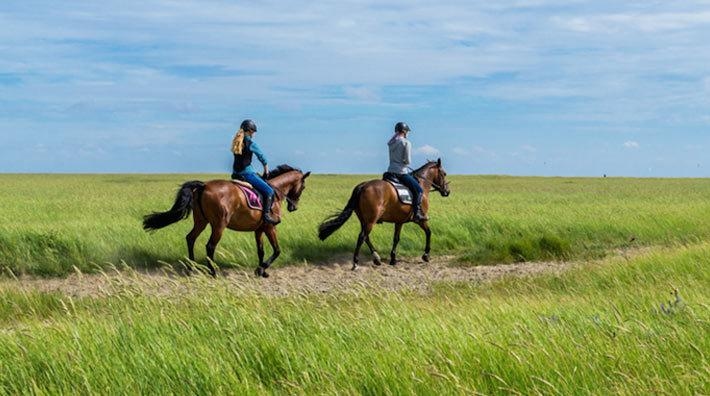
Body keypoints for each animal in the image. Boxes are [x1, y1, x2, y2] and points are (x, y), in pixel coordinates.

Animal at [143, 166, 310, 276]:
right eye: (303, 187)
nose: (293, 207)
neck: (275, 191)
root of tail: (204, 185)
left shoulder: (259, 229)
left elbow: (261, 251)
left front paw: (261, 271)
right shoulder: (270, 227)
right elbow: (277, 250)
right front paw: (261, 269)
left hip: (201, 222)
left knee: (190, 238)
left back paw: (192, 267)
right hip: (219, 225)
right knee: (210, 246)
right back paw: (213, 271)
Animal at [318, 158, 450, 270]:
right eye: (444, 174)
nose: (447, 191)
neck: (422, 183)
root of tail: (363, 185)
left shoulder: (399, 221)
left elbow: (396, 239)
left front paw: (393, 259)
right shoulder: (420, 220)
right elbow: (429, 232)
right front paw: (426, 255)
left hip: (364, 220)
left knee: (366, 237)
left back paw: (376, 258)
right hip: (371, 220)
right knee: (362, 237)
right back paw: (355, 263)